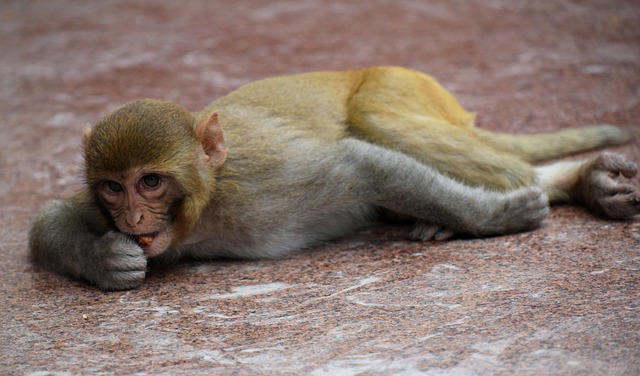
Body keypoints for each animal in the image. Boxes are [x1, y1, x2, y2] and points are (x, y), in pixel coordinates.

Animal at [27, 66, 636, 290]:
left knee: (375, 119)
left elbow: (358, 163)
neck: (207, 205)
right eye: (113, 186)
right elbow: (49, 218)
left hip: (401, 85)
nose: (132, 217)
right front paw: (107, 261)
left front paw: (498, 217)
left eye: (150, 182)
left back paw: (568, 181)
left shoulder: (261, 183)